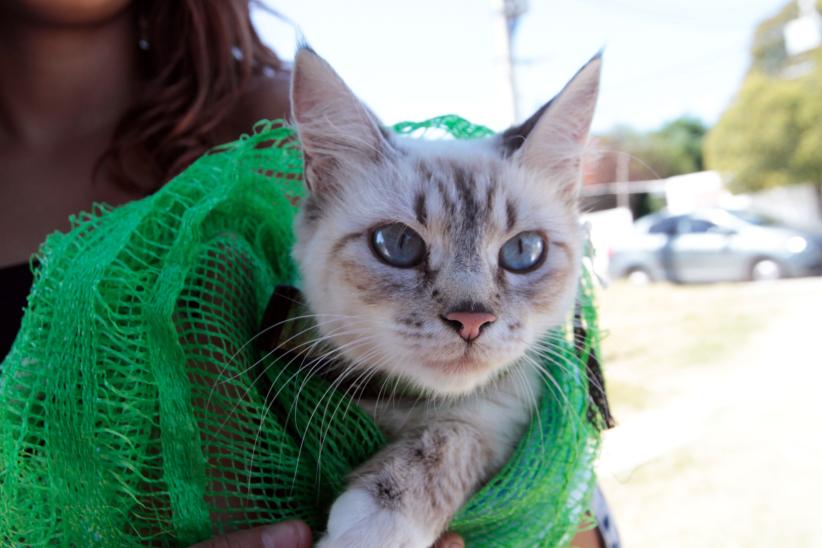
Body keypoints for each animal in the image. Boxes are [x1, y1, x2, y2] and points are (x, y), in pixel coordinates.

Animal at [292, 45, 604, 544]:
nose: (471, 320)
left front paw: (373, 525)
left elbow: (449, 439)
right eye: (399, 244)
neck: (411, 405)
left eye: (523, 252)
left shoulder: (499, 421)